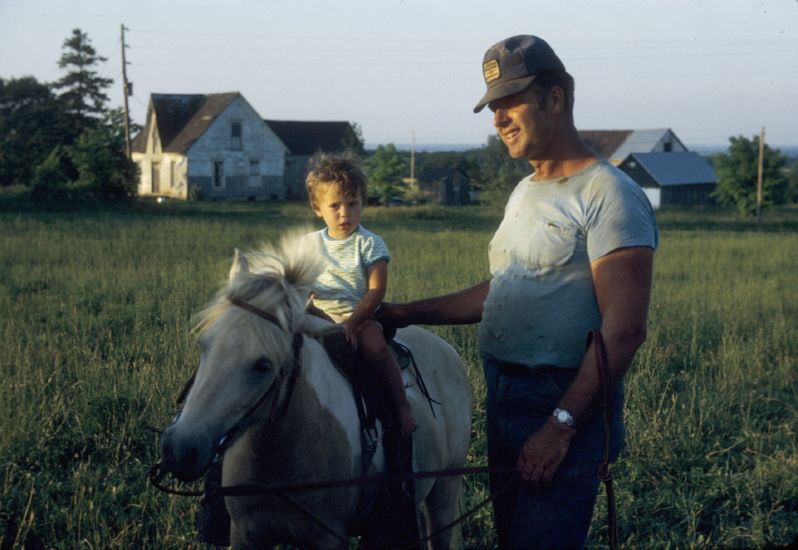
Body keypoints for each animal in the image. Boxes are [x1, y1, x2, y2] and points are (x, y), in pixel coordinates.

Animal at [161, 239, 476, 550]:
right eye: (204, 345)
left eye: (263, 365)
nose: (179, 449)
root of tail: (446, 350)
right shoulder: (245, 535)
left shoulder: (327, 538)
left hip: (444, 491)